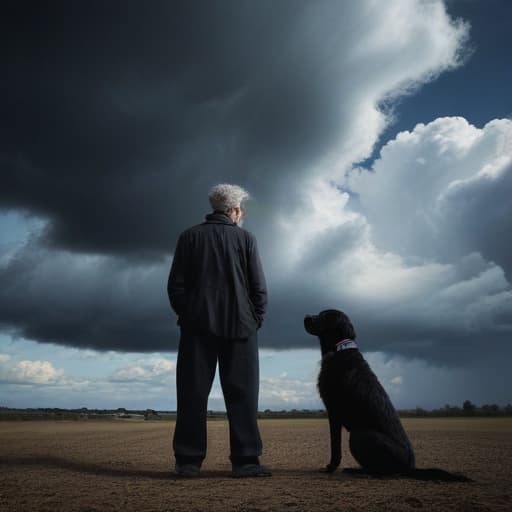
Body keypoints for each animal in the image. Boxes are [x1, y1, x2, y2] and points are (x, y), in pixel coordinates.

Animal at [304, 308, 416, 476]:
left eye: (325, 316)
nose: (306, 317)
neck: (339, 349)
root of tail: (411, 468)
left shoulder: (333, 410)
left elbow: (335, 445)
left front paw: (330, 468)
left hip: (359, 435)